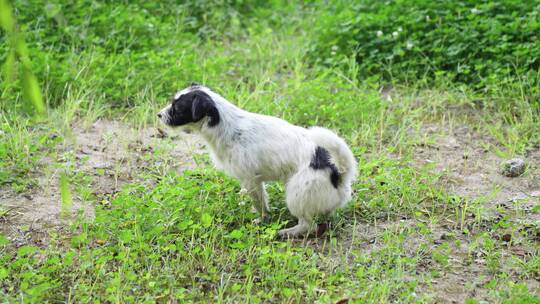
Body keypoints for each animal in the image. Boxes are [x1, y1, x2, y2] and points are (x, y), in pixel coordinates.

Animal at [158, 84, 356, 239]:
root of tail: (339, 175)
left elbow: (260, 203)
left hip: (297, 195)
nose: (159, 115)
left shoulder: (251, 180)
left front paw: (261, 219)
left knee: (308, 226)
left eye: (177, 108)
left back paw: (288, 232)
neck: (226, 126)